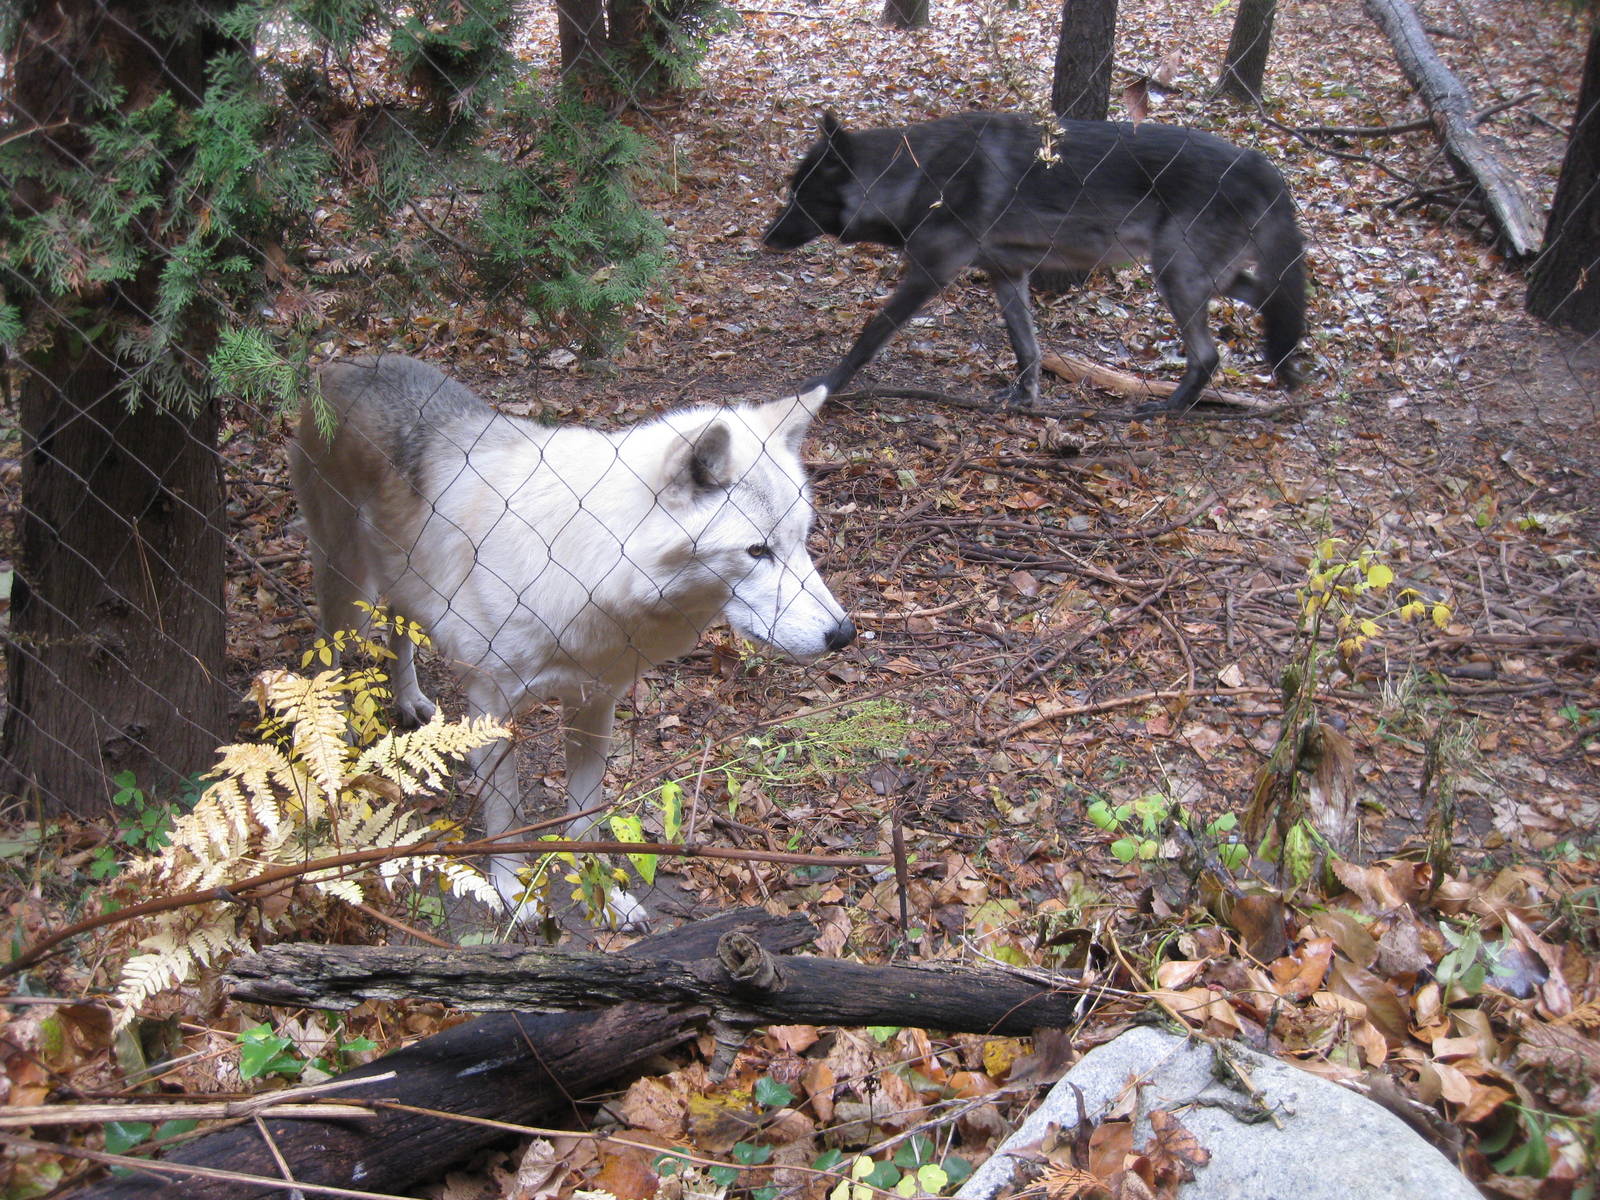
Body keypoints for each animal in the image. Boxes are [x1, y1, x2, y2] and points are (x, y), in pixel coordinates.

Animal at [289, 355, 855, 927]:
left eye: (801, 539)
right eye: (757, 550)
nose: (844, 633)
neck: (586, 559)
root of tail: (339, 363)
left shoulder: (593, 702)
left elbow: (585, 820)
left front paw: (605, 896)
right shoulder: (492, 708)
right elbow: (507, 814)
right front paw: (512, 890)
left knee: (399, 630)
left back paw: (409, 701)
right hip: (345, 584)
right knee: (327, 659)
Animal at [764, 111, 1307, 413]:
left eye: (799, 197)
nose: (766, 237)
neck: (916, 175)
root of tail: (1261, 165)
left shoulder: (929, 275)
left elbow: (870, 333)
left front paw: (826, 386)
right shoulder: (1007, 275)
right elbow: (1026, 346)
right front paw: (1025, 399)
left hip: (1176, 274)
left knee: (1209, 353)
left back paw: (1170, 407)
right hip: (1203, 276)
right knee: (1273, 298)